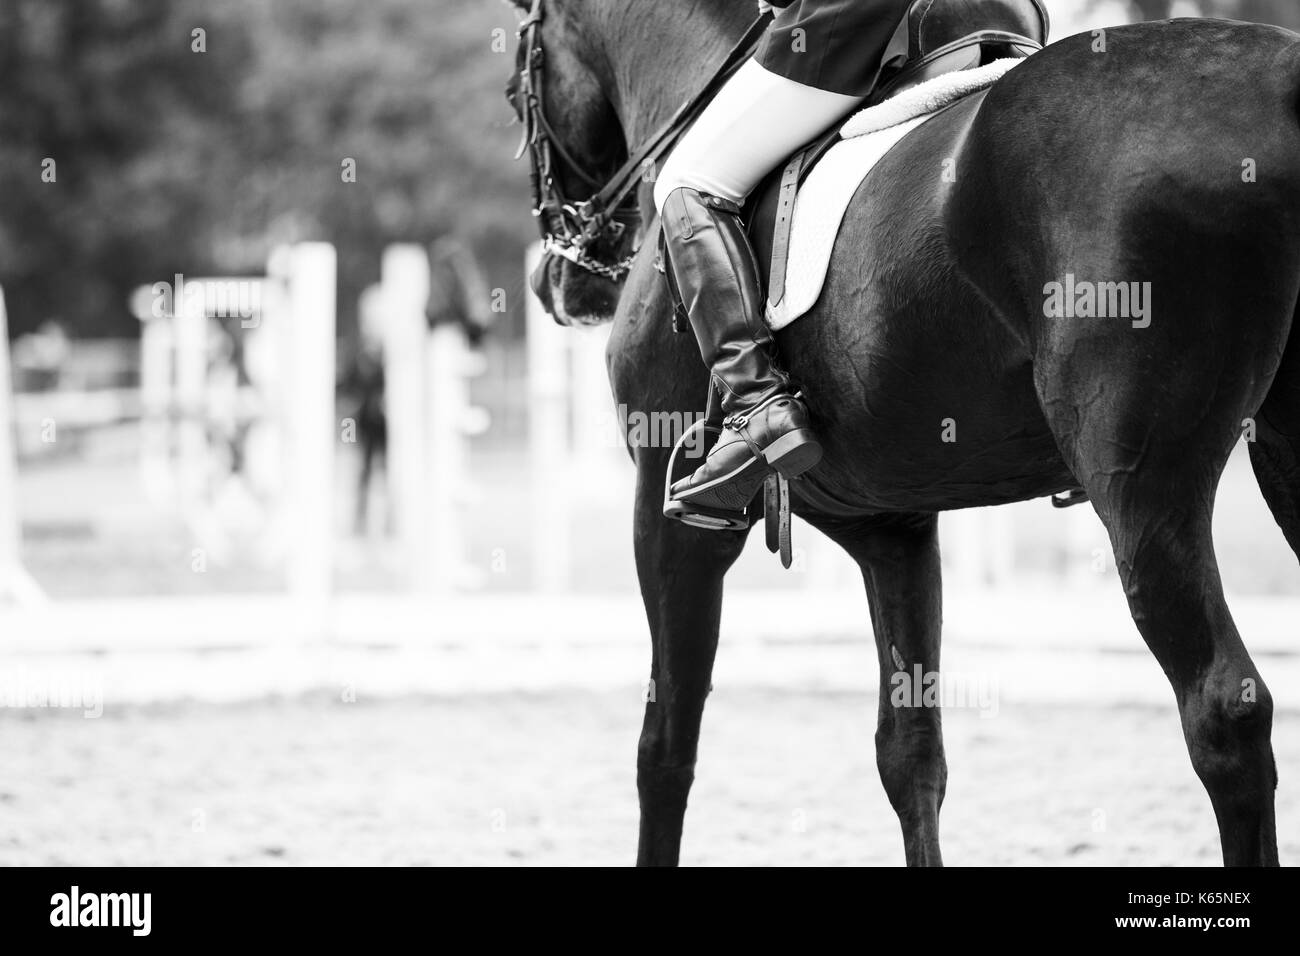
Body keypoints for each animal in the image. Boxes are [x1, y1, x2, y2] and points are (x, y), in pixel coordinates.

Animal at [506, 0, 1300, 866]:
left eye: (517, 90)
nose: (562, 283)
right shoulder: (892, 530)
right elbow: (911, 754)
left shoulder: (670, 511)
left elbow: (666, 744)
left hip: (1141, 488)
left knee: (1222, 710)